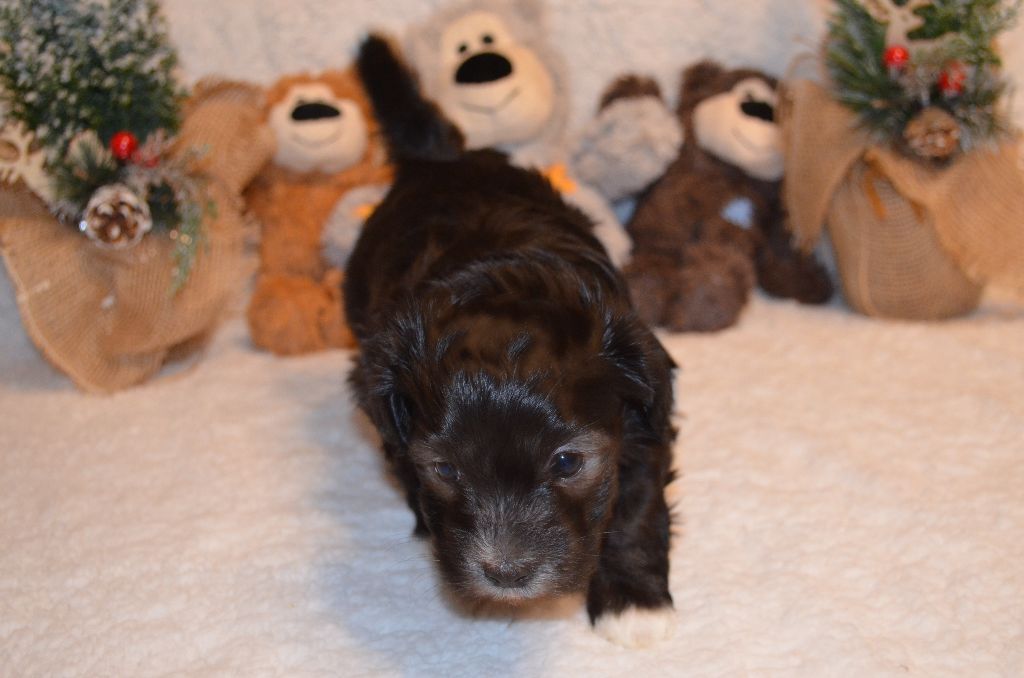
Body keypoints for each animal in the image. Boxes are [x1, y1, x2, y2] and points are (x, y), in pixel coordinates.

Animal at [344, 35, 677, 648]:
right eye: (446, 471)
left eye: (568, 463)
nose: (507, 573)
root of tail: (439, 162)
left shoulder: (645, 414)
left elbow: (637, 503)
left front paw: (634, 603)